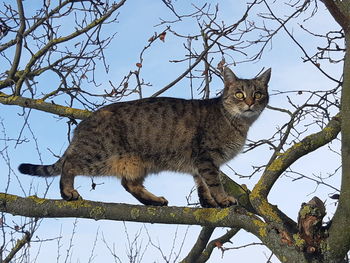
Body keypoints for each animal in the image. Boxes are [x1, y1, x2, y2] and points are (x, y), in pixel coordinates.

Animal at [18, 67, 270, 208]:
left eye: (258, 94)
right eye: (239, 94)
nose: (250, 102)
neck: (236, 122)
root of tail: (83, 123)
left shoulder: (200, 163)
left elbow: (202, 185)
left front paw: (210, 203)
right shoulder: (206, 157)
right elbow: (214, 182)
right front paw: (223, 199)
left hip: (136, 163)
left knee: (129, 184)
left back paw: (154, 200)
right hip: (97, 155)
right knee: (69, 164)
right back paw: (67, 192)